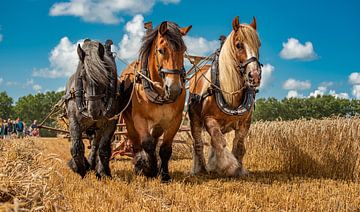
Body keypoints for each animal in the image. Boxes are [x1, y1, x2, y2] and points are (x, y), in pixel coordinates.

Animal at [64, 39, 119, 178]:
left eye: (105, 75)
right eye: (82, 76)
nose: (94, 111)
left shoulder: (110, 122)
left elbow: (103, 148)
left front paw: (104, 172)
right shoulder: (73, 119)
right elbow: (77, 146)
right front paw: (79, 169)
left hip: (98, 128)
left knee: (95, 145)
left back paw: (94, 164)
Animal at [119, 20, 191, 182]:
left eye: (183, 50)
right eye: (161, 50)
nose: (174, 89)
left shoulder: (175, 120)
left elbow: (165, 149)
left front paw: (164, 174)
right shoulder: (139, 118)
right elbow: (147, 144)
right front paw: (149, 169)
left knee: (155, 139)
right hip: (129, 121)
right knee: (136, 143)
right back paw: (138, 165)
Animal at [188, 16, 262, 176]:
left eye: (259, 45)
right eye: (239, 45)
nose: (254, 76)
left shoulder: (245, 123)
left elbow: (239, 145)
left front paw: (239, 169)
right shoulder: (209, 119)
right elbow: (219, 142)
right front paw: (228, 166)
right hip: (194, 120)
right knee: (198, 143)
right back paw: (200, 168)